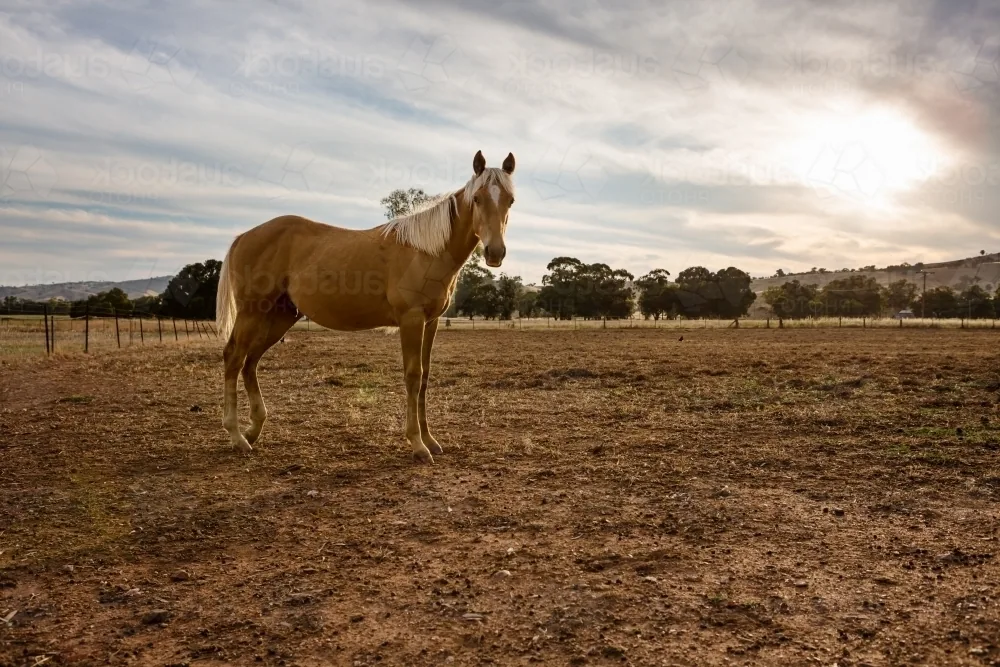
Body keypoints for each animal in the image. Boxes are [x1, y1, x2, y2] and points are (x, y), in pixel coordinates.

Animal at [215, 150, 516, 464]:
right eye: (477, 198)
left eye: (510, 200)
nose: (495, 253)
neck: (426, 251)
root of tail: (244, 237)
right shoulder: (411, 320)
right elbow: (413, 376)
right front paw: (417, 444)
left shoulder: (431, 322)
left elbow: (425, 376)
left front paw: (431, 441)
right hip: (251, 313)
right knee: (233, 359)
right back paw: (237, 436)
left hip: (277, 317)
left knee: (250, 363)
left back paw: (253, 430)